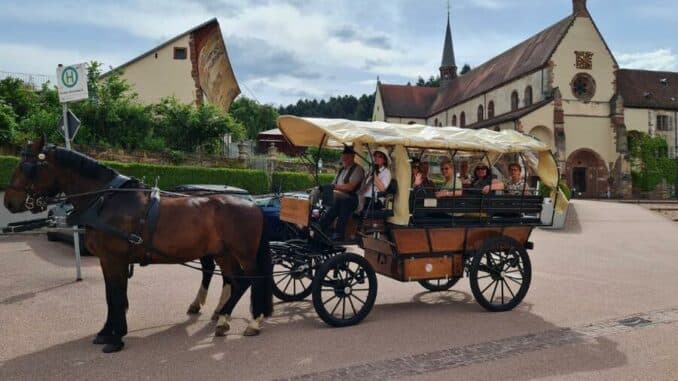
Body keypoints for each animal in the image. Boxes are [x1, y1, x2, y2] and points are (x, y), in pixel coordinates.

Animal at [3, 138, 274, 352]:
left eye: (26, 166)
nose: (9, 202)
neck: (104, 200)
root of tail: (252, 204)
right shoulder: (107, 261)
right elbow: (111, 296)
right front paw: (106, 332)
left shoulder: (115, 259)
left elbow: (116, 296)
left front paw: (116, 338)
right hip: (223, 253)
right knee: (236, 281)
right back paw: (223, 319)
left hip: (243, 253)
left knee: (252, 280)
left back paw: (253, 322)